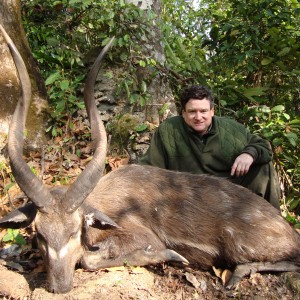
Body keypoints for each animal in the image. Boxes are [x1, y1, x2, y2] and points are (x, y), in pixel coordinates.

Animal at [0, 24, 300, 296]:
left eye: (75, 231)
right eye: (40, 234)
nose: (58, 287)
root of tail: (287, 228)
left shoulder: (141, 236)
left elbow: (90, 257)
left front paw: (172, 255)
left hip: (241, 245)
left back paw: (237, 274)